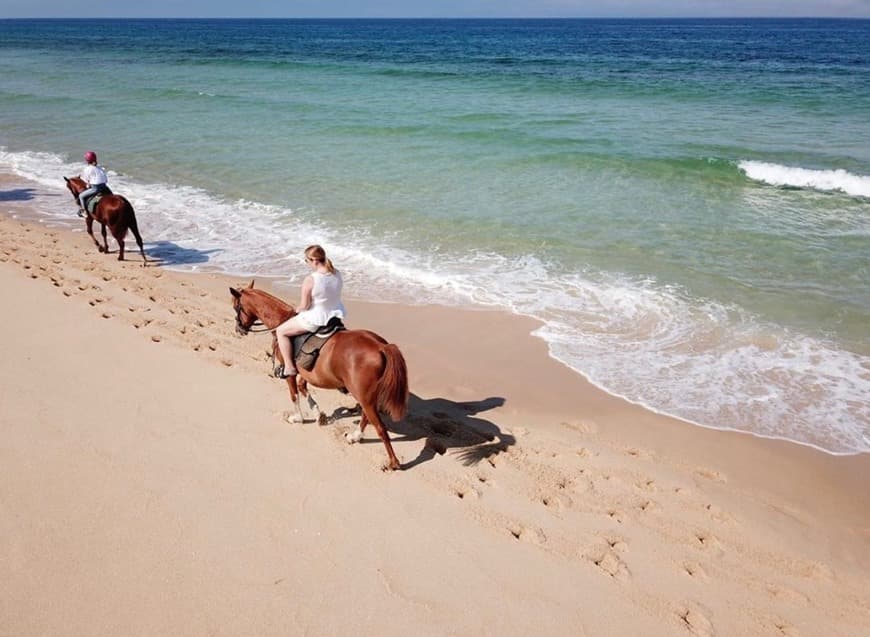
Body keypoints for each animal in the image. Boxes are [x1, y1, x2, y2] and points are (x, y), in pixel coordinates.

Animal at [230, 280, 410, 470]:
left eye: (236, 307)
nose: (238, 329)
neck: (281, 320)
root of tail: (381, 346)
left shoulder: (290, 372)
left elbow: (294, 395)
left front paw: (298, 418)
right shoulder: (307, 373)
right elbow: (303, 388)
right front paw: (318, 414)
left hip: (365, 397)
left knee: (380, 427)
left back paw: (393, 462)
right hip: (367, 397)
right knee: (366, 417)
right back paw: (355, 437)